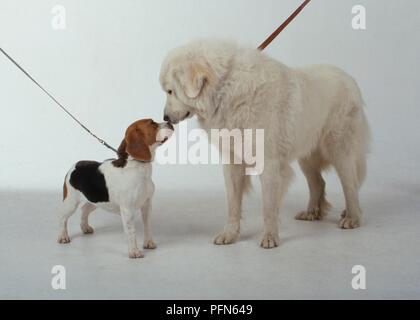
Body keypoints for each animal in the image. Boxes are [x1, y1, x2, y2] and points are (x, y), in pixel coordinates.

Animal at [57, 119, 174, 258]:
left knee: (84, 210)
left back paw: (85, 227)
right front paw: (134, 251)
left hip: (95, 200)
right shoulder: (127, 210)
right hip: (71, 202)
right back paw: (63, 236)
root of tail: (76, 165)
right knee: (62, 218)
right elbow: (131, 232)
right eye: (152, 123)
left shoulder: (147, 205)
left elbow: (148, 226)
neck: (138, 167)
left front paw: (149, 243)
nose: (170, 122)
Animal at [159, 40, 370, 249]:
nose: (165, 118)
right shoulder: (233, 162)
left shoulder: (269, 163)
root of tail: (349, 78)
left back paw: (352, 218)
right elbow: (233, 204)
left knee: (350, 184)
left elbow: (268, 205)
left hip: (339, 149)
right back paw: (311, 212)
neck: (226, 90)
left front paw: (270, 237)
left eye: (170, 91)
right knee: (318, 183)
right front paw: (229, 235)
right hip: (307, 156)